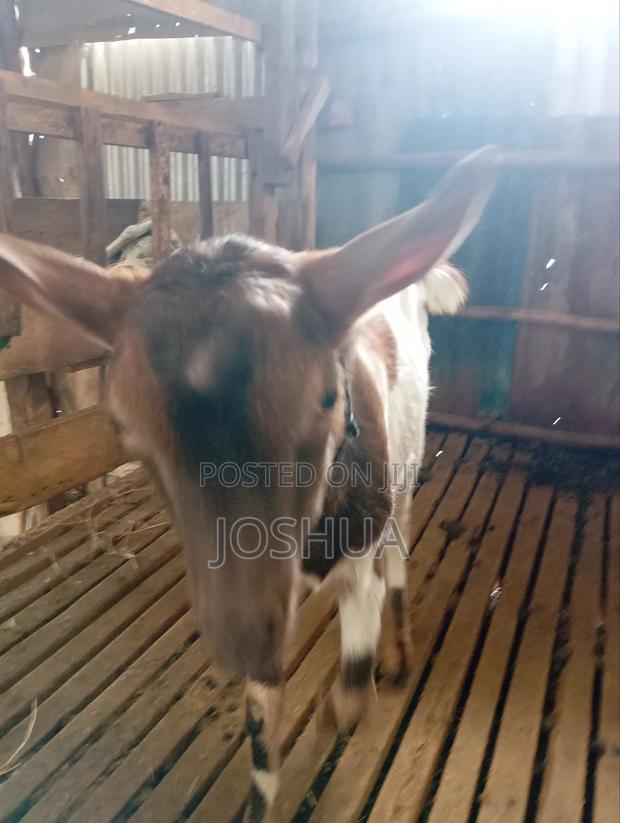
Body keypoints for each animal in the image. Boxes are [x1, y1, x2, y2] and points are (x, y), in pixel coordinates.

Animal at [0, 147, 498, 821]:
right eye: (126, 429)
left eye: (326, 398)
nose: (241, 641)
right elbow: (262, 725)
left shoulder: (354, 555)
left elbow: (351, 677)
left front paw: (343, 707)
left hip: (407, 458)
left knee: (400, 544)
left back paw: (400, 651)